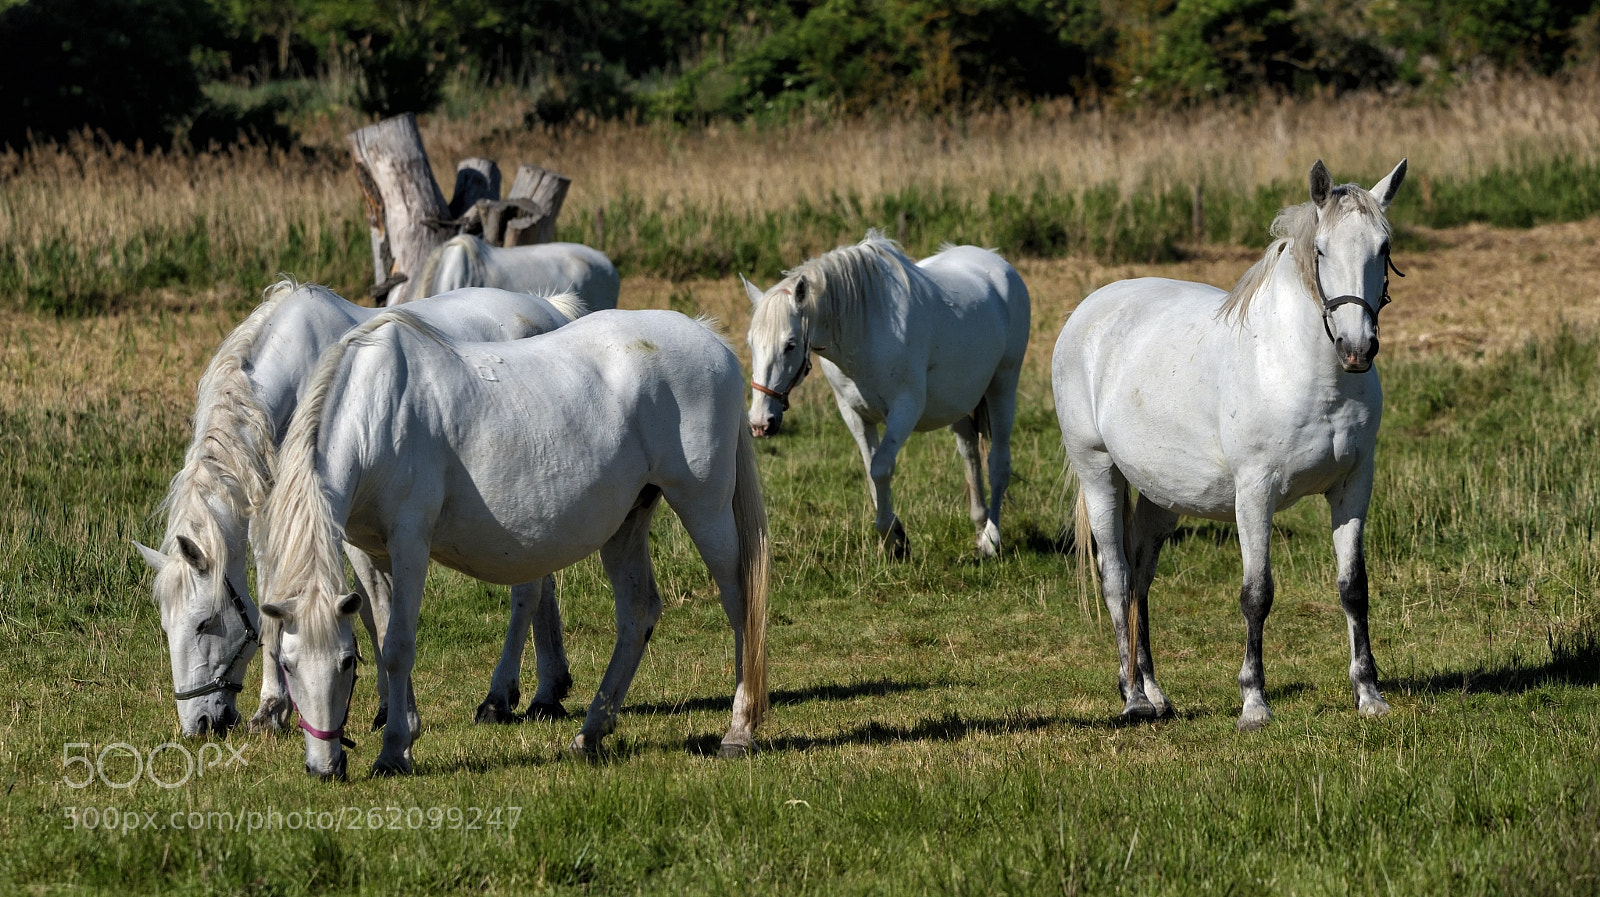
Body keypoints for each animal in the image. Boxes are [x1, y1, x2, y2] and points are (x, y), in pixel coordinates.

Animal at [136, 281, 587, 738]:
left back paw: (500, 697)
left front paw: (387, 708)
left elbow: (369, 613)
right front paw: (273, 708)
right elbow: (280, 602)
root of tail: (550, 307)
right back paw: (548, 691)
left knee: (525, 594)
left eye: (204, 622)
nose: (200, 723)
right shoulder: (274, 519)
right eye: (167, 626)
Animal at [256, 308, 769, 778]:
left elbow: (400, 644)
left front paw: (394, 752)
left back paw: (738, 730)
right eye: (287, 664)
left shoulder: (410, 543)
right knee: (637, 614)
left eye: (346, 663)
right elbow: (382, 639)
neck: (376, 411)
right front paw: (403, 729)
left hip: (705, 509)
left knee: (740, 605)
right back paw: (590, 734)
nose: (324, 768)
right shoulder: (368, 551)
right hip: (626, 523)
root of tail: (709, 338)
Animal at [744, 230, 1030, 558]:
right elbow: (870, 471)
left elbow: (881, 467)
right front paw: (895, 536)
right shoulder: (854, 413)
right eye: (750, 342)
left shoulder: (905, 409)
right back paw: (979, 521)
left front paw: (892, 537)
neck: (865, 328)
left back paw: (990, 538)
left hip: (1002, 386)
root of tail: (998, 263)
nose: (760, 422)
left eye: (790, 344)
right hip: (956, 402)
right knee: (970, 451)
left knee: (998, 463)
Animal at [1052, 159, 1407, 730]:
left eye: (1384, 247)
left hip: (1161, 496)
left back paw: (1155, 693)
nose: (1357, 348)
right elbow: (1256, 594)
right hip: (1098, 475)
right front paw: (1253, 704)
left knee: (1142, 577)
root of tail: (1088, 312)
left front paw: (1369, 695)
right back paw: (1132, 698)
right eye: (1321, 250)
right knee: (1117, 577)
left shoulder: (1353, 487)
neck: (1301, 370)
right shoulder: (1255, 494)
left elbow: (1353, 588)